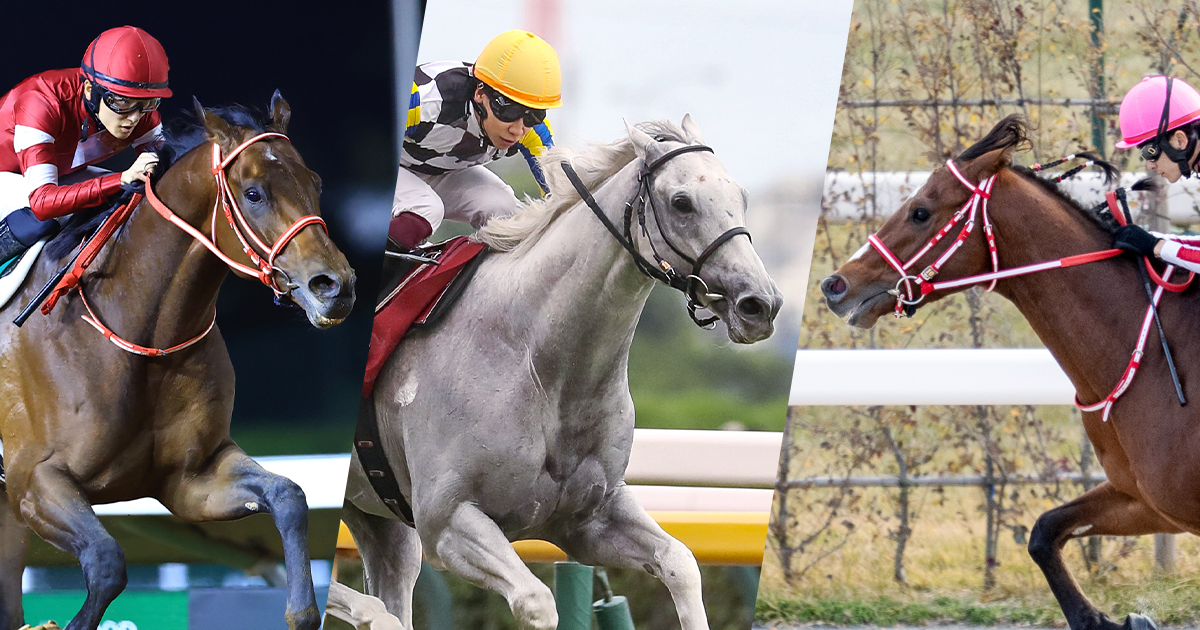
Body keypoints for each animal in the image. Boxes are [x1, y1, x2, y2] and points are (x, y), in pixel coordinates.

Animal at [0, 92, 356, 630]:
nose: (334, 286)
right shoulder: (34, 480)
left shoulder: (192, 479)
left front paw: (300, 612)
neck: (144, 334)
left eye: (315, 182)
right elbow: (106, 562)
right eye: (253, 193)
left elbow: (288, 496)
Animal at [339, 116, 782, 630]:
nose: (760, 304)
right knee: (372, 605)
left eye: (742, 196)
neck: (539, 361)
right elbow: (536, 601)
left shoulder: (591, 518)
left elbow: (681, 563)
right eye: (681, 202)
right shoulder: (447, 521)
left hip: (376, 514)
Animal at [820, 114, 1197, 630]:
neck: (1156, 355)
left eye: (920, 211)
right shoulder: (1146, 497)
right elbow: (1043, 532)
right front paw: (1106, 619)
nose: (834, 285)